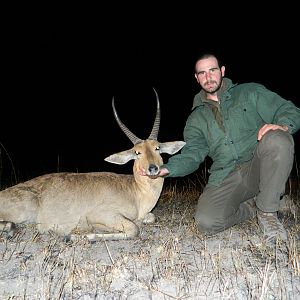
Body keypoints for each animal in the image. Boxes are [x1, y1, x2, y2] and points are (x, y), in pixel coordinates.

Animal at [0, 88, 185, 240]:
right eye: (137, 152)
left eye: (157, 148)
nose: (153, 168)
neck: (135, 192)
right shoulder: (100, 215)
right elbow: (134, 229)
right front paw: (78, 236)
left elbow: (149, 218)